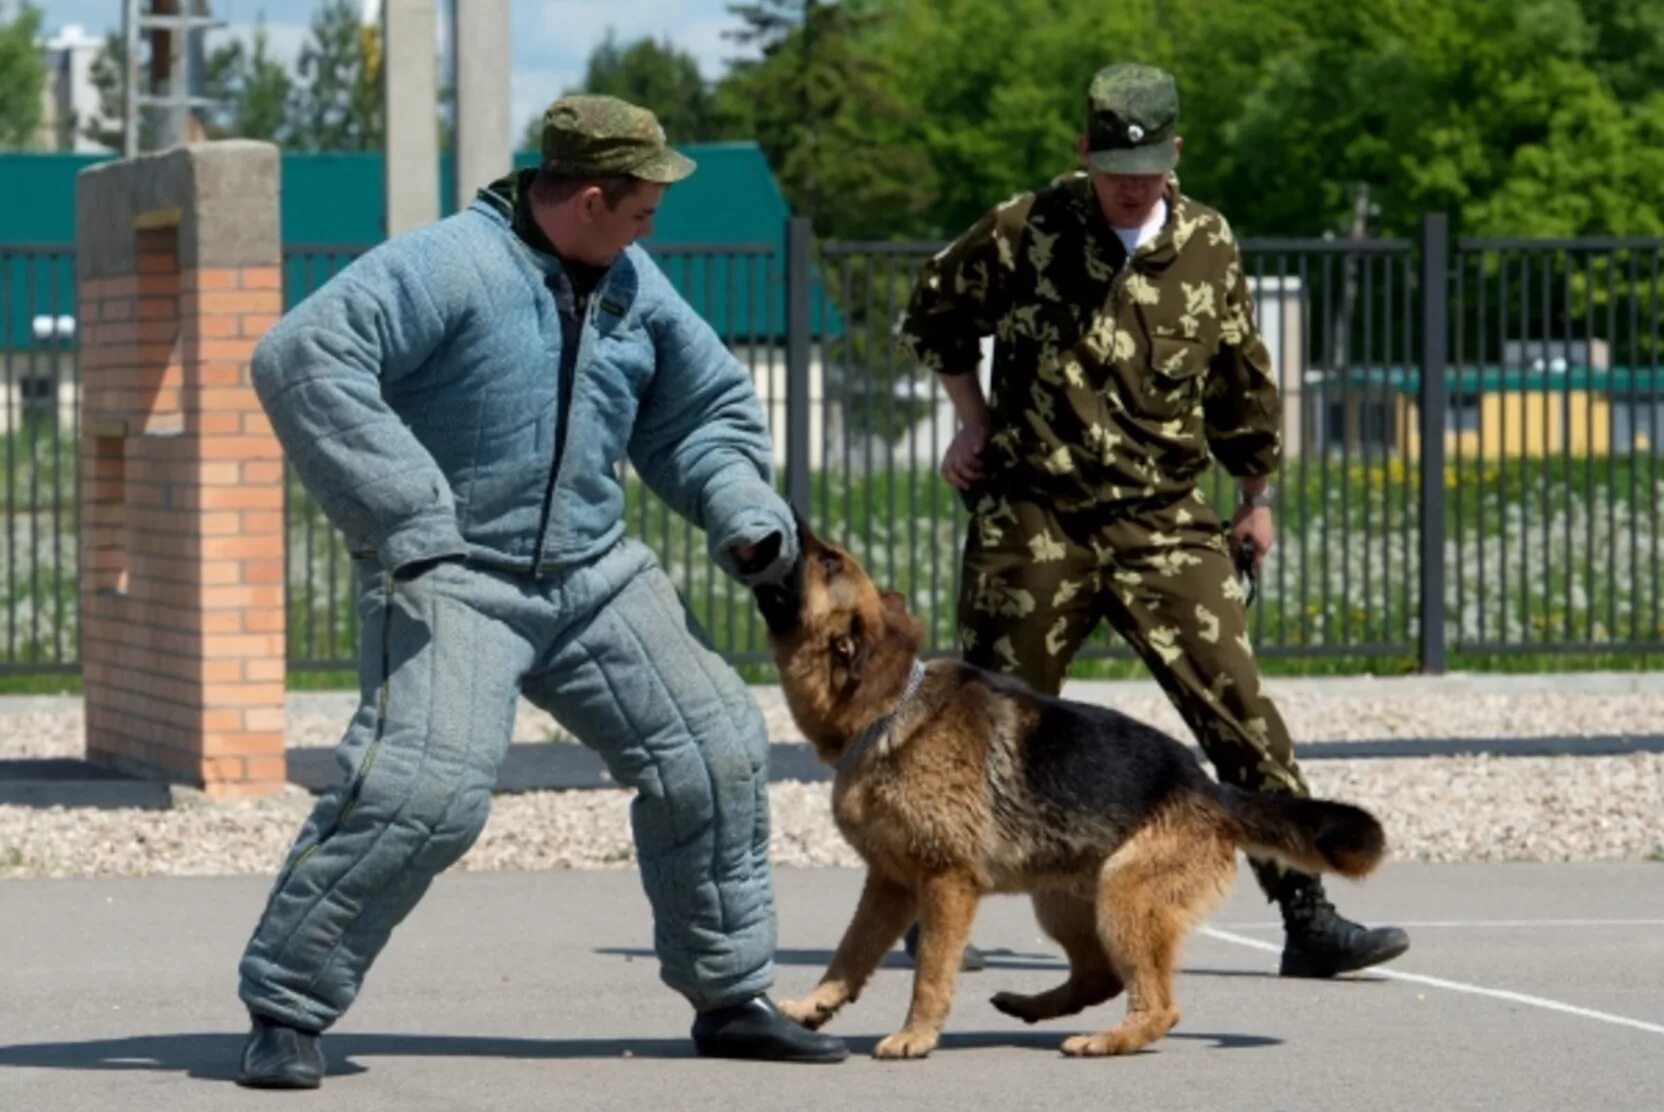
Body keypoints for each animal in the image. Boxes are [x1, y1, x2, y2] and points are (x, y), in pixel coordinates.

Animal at [755, 522, 1391, 1058]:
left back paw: (1107, 1039)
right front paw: (814, 1007)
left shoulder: (944, 884)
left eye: (829, 560)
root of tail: (1209, 789)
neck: (889, 710)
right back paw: (1032, 1006)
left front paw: (916, 1035)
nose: (784, 521)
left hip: (1122, 896)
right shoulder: (889, 885)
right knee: (1099, 976)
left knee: (1159, 1005)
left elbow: (931, 970)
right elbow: (850, 953)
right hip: (1061, 899)